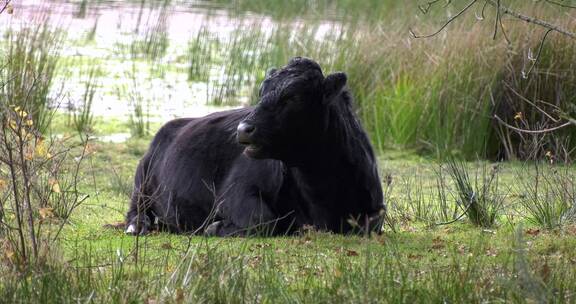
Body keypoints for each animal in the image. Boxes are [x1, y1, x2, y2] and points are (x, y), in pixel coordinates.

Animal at [126, 57, 388, 238]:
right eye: (262, 92)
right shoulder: (235, 192)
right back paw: (137, 227)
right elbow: (264, 221)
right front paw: (215, 227)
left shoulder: (376, 210)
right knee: (136, 211)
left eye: (293, 97)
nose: (243, 128)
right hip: (141, 183)